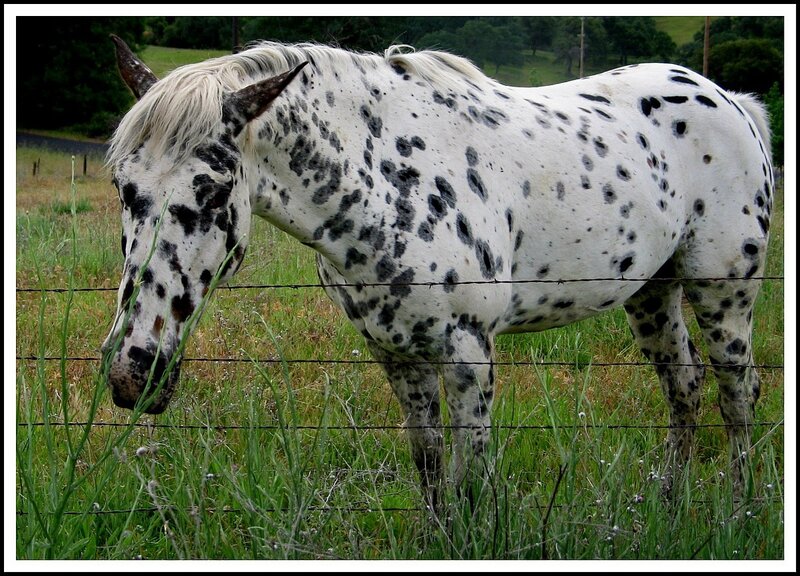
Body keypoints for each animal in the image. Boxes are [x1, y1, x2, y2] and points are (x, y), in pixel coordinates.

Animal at [102, 35, 773, 507]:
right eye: (122, 188)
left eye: (214, 191)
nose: (133, 373)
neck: (386, 183)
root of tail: (733, 103)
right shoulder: (397, 352)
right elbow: (429, 474)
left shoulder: (468, 353)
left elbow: (469, 482)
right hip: (652, 294)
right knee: (684, 387)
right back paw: (669, 505)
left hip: (723, 294)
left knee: (737, 396)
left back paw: (735, 514)